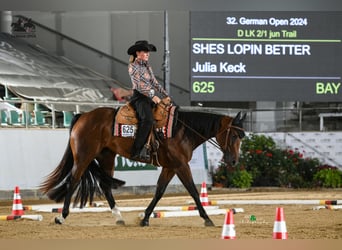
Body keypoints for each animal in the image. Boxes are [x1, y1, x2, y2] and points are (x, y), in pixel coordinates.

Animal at [40, 105, 246, 227]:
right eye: (234, 136)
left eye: (242, 136)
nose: (234, 161)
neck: (182, 130)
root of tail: (83, 116)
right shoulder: (180, 165)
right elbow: (193, 192)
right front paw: (207, 218)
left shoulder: (170, 167)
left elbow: (159, 191)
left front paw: (145, 218)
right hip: (83, 157)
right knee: (73, 182)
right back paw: (61, 216)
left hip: (106, 157)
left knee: (105, 186)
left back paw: (119, 217)